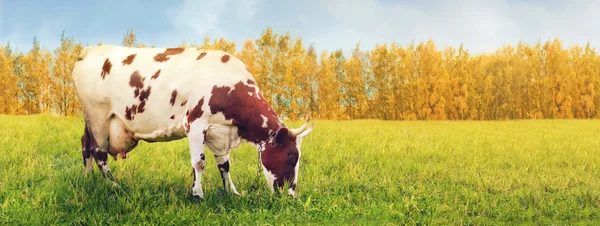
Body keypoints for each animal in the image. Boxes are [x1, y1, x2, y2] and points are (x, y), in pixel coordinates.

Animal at [71, 44, 314, 198]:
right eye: (291, 156)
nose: (290, 194)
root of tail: (89, 50)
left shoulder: (219, 131)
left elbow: (224, 164)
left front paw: (232, 192)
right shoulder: (196, 124)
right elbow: (199, 162)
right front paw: (197, 194)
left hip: (89, 120)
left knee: (85, 145)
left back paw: (88, 178)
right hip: (98, 116)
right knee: (98, 151)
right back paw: (114, 185)